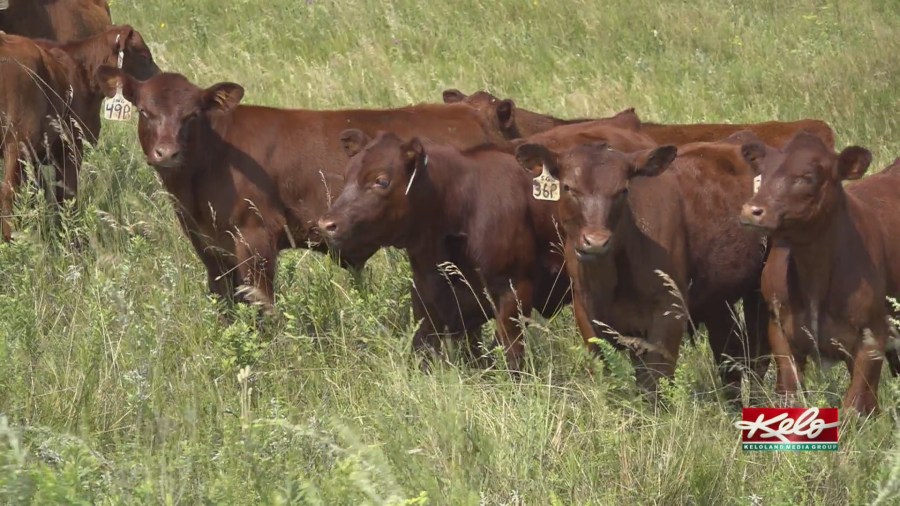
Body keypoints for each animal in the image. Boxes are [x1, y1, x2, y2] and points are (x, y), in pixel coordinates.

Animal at [94, 68, 515, 312]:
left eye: (192, 114)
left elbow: (263, 308)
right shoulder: (208, 245)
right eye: (145, 112)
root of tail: (473, 112)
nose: (167, 152)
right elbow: (224, 304)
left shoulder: (256, 236)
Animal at [316, 131, 572, 372]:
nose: (327, 224)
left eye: (381, 180)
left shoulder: (513, 288)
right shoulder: (425, 291)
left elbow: (509, 352)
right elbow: (426, 349)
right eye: (347, 176)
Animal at [515, 132, 770, 401]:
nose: (596, 241)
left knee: (758, 355)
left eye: (623, 190)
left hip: (760, 294)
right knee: (729, 352)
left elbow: (654, 382)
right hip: (718, 298)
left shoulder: (668, 314)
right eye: (568, 188)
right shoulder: (586, 313)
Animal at [739, 132, 900, 414]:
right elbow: (789, 392)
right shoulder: (779, 329)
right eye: (762, 173)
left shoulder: (873, 334)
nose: (752, 210)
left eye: (808, 176)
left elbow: (854, 404)